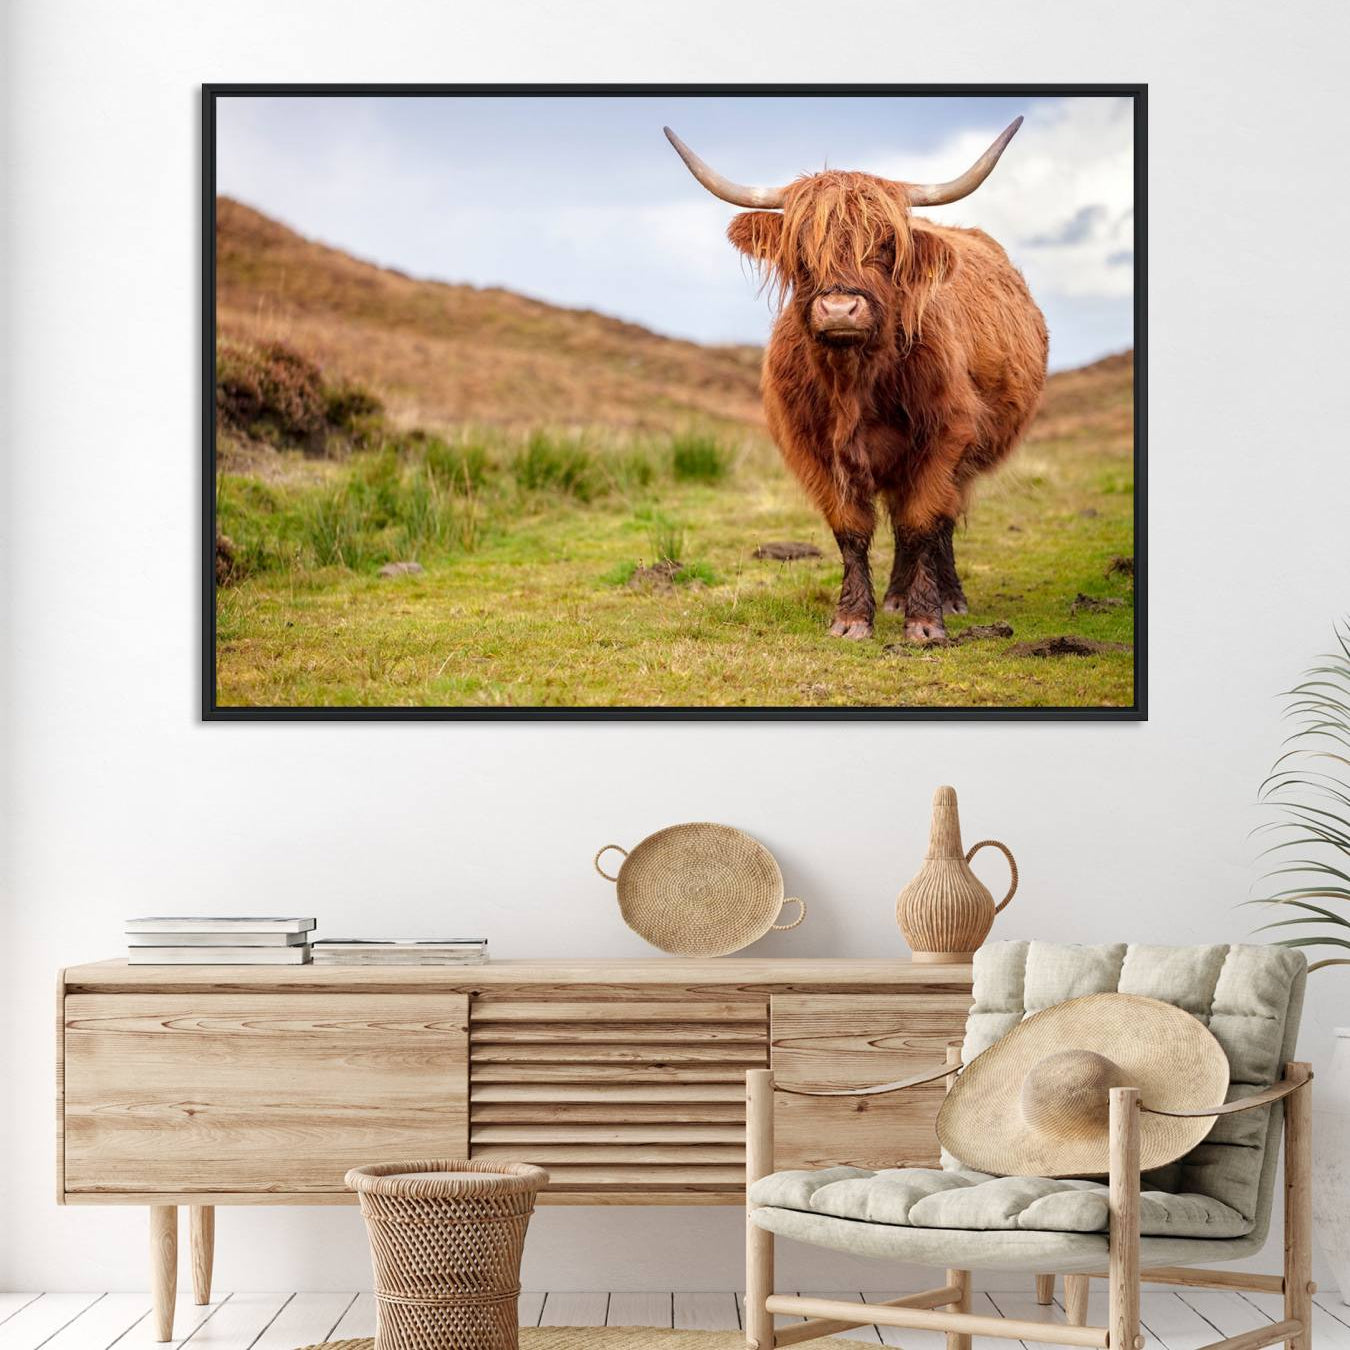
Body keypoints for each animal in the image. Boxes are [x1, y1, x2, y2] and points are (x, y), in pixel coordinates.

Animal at [665, 119, 1048, 643]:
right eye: (801, 249)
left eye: (886, 245)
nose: (840, 309)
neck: (855, 382)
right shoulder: (814, 449)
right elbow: (851, 529)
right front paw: (851, 618)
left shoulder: (945, 437)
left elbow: (922, 522)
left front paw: (926, 622)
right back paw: (894, 597)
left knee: (939, 522)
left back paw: (947, 597)